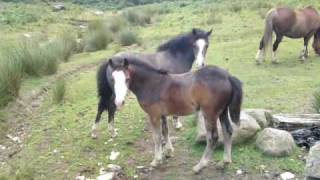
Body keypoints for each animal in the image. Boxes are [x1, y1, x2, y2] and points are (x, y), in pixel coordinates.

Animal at [105, 57, 242, 173]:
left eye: (127, 79)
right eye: (112, 79)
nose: (119, 102)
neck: (152, 84)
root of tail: (227, 76)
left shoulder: (153, 115)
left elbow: (156, 136)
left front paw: (156, 160)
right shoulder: (162, 114)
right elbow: (165, 131)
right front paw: (168, 152)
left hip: (209, 113)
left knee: (213, 137)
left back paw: (200, 166)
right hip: (222, 112)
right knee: (228, 131)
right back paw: (225, 162)